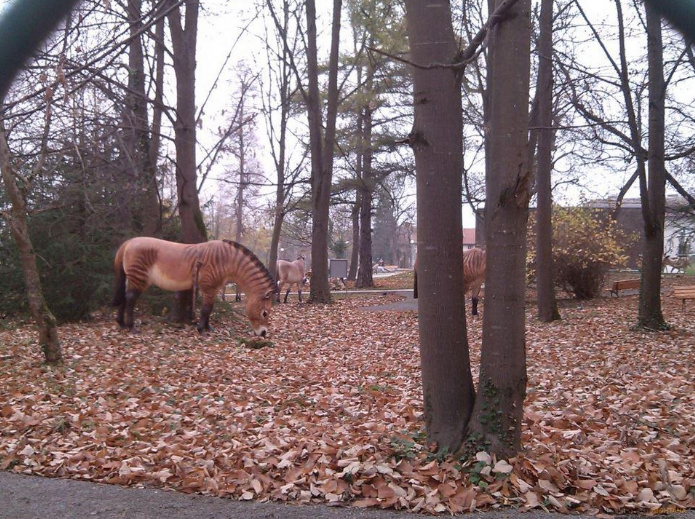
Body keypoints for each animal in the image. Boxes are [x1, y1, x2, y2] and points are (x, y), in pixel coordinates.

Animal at [113, 240, 278, 338]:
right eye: (265, 313)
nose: (263, 334)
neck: (226, 260)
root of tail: (129, 242)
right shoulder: (208, 287)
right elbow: (206, 309)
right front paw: (201, 330)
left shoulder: (214, 288)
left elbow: (210, 308)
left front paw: (208, 328)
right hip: (139, 278)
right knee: (130, 299)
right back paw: (131, 327)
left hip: (132, 278)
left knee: (124, 297)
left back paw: (121, 324)